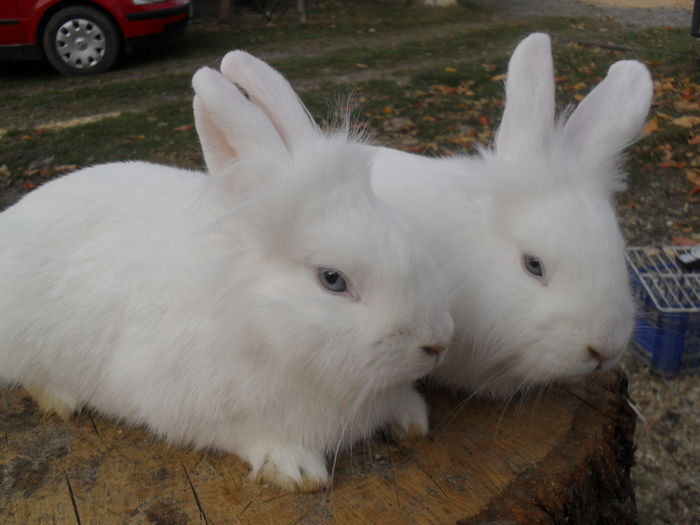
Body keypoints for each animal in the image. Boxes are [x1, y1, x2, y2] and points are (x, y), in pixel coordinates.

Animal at [0, 66, 454, 492]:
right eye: (332, 279)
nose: (437, 342)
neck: (262, 319)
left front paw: (411, 420)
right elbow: (250, 437)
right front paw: (296, 470)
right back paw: (60, 400)